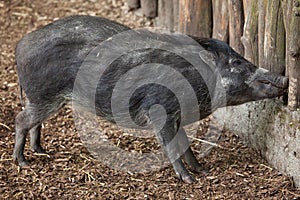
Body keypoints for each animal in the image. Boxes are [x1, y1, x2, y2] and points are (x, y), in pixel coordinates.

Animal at [14, 15, 288, 183]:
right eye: (236, 62)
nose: (285, 79)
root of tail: (21, 44)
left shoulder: (176, 116)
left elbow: (185, 144)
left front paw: (203, 170)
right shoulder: (161, 112)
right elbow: (171, 146)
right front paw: (189, 180)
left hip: (47, 100)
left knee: (33, 122)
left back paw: (42, 151)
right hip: (44, 96)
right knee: (21, 120)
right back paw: (23, 162)